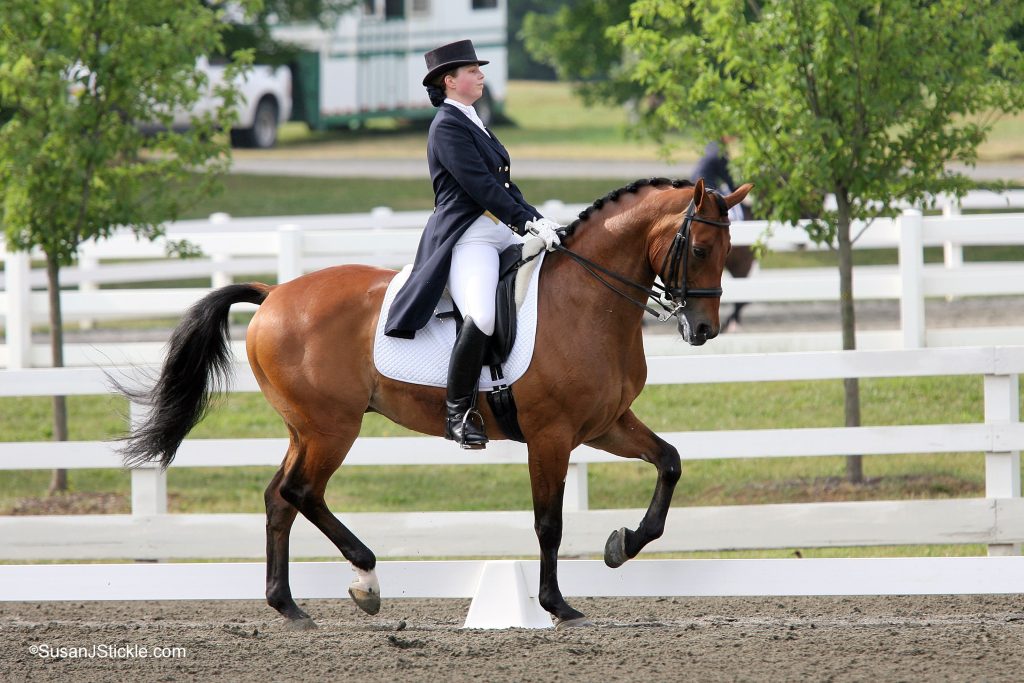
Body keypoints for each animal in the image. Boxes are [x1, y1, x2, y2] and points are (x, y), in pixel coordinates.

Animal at [119, 178, 757, 630]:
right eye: (701, 247)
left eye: (730, 248)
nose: (703, 330)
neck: (586, 300)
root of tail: (274, 294)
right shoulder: (551, 435)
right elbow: (548, 522)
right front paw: (557, 604)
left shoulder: (605, 425)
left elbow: (669, 462)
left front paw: (622, 545)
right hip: (332, 428)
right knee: (302, 492)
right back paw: (366, 580)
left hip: (305, 429)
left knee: (280, 498)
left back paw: (290, 607)